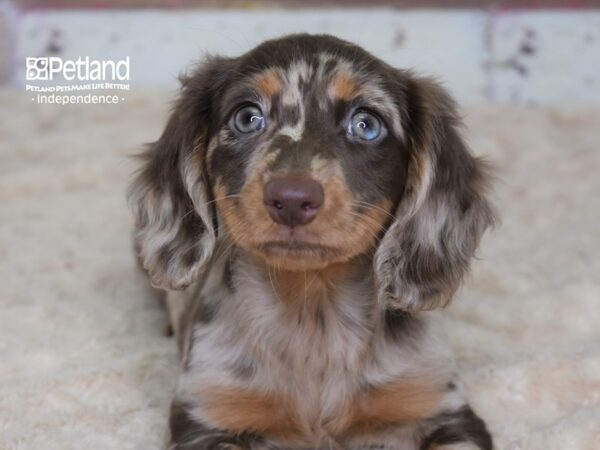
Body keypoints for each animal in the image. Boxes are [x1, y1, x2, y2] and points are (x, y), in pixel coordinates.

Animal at [130, 33, 496, 448]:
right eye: (247, 117)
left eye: (366, 124)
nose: (292, 199)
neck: (312, 310)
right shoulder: (205, 413)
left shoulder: (443, 407)